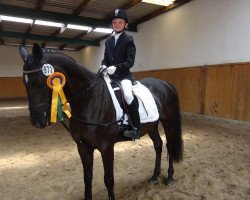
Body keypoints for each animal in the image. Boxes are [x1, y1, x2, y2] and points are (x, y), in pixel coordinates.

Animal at [19, 43, 184, 200]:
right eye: (24, 83)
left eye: (41, 81)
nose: (37, 121)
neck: (89, 100)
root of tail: (165, 83)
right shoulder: (83, 146)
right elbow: (87, 177)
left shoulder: (106, 147)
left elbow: (109, 180)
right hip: (151, 125)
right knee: (158, 145)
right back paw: (154, 177)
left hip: (168, 122)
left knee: (169, 146)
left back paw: (170, 178)